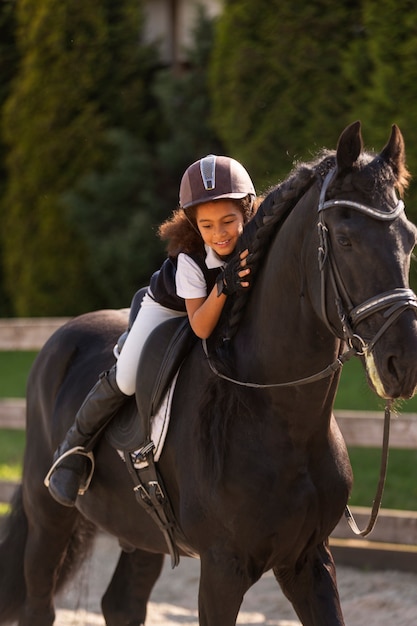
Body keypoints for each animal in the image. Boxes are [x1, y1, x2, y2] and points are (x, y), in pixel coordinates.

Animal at [0, 122, 416, 624]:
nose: (403, 363)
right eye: (346, 239)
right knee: (39, 602)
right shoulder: (223, 568)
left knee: (122, 602)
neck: (276, 412)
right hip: (49, 516)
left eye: (410, 238)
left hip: (142, 531)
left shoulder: (309, 559)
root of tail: (60, 336)